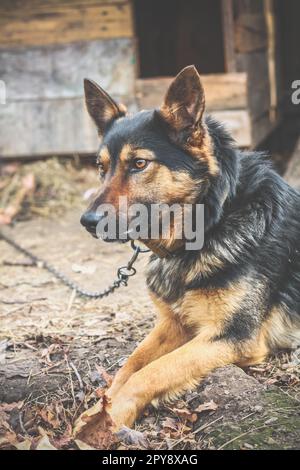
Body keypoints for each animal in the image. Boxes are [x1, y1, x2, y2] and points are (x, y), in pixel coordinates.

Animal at [80, 65, 300, 430]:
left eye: (139, 164)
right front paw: (96, 410)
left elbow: (153, 372)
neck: (214, 221)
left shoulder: (234, 337)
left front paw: (114, 414)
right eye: (101, 167)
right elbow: (131, 364)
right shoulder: (174, 324)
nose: (87, 221)